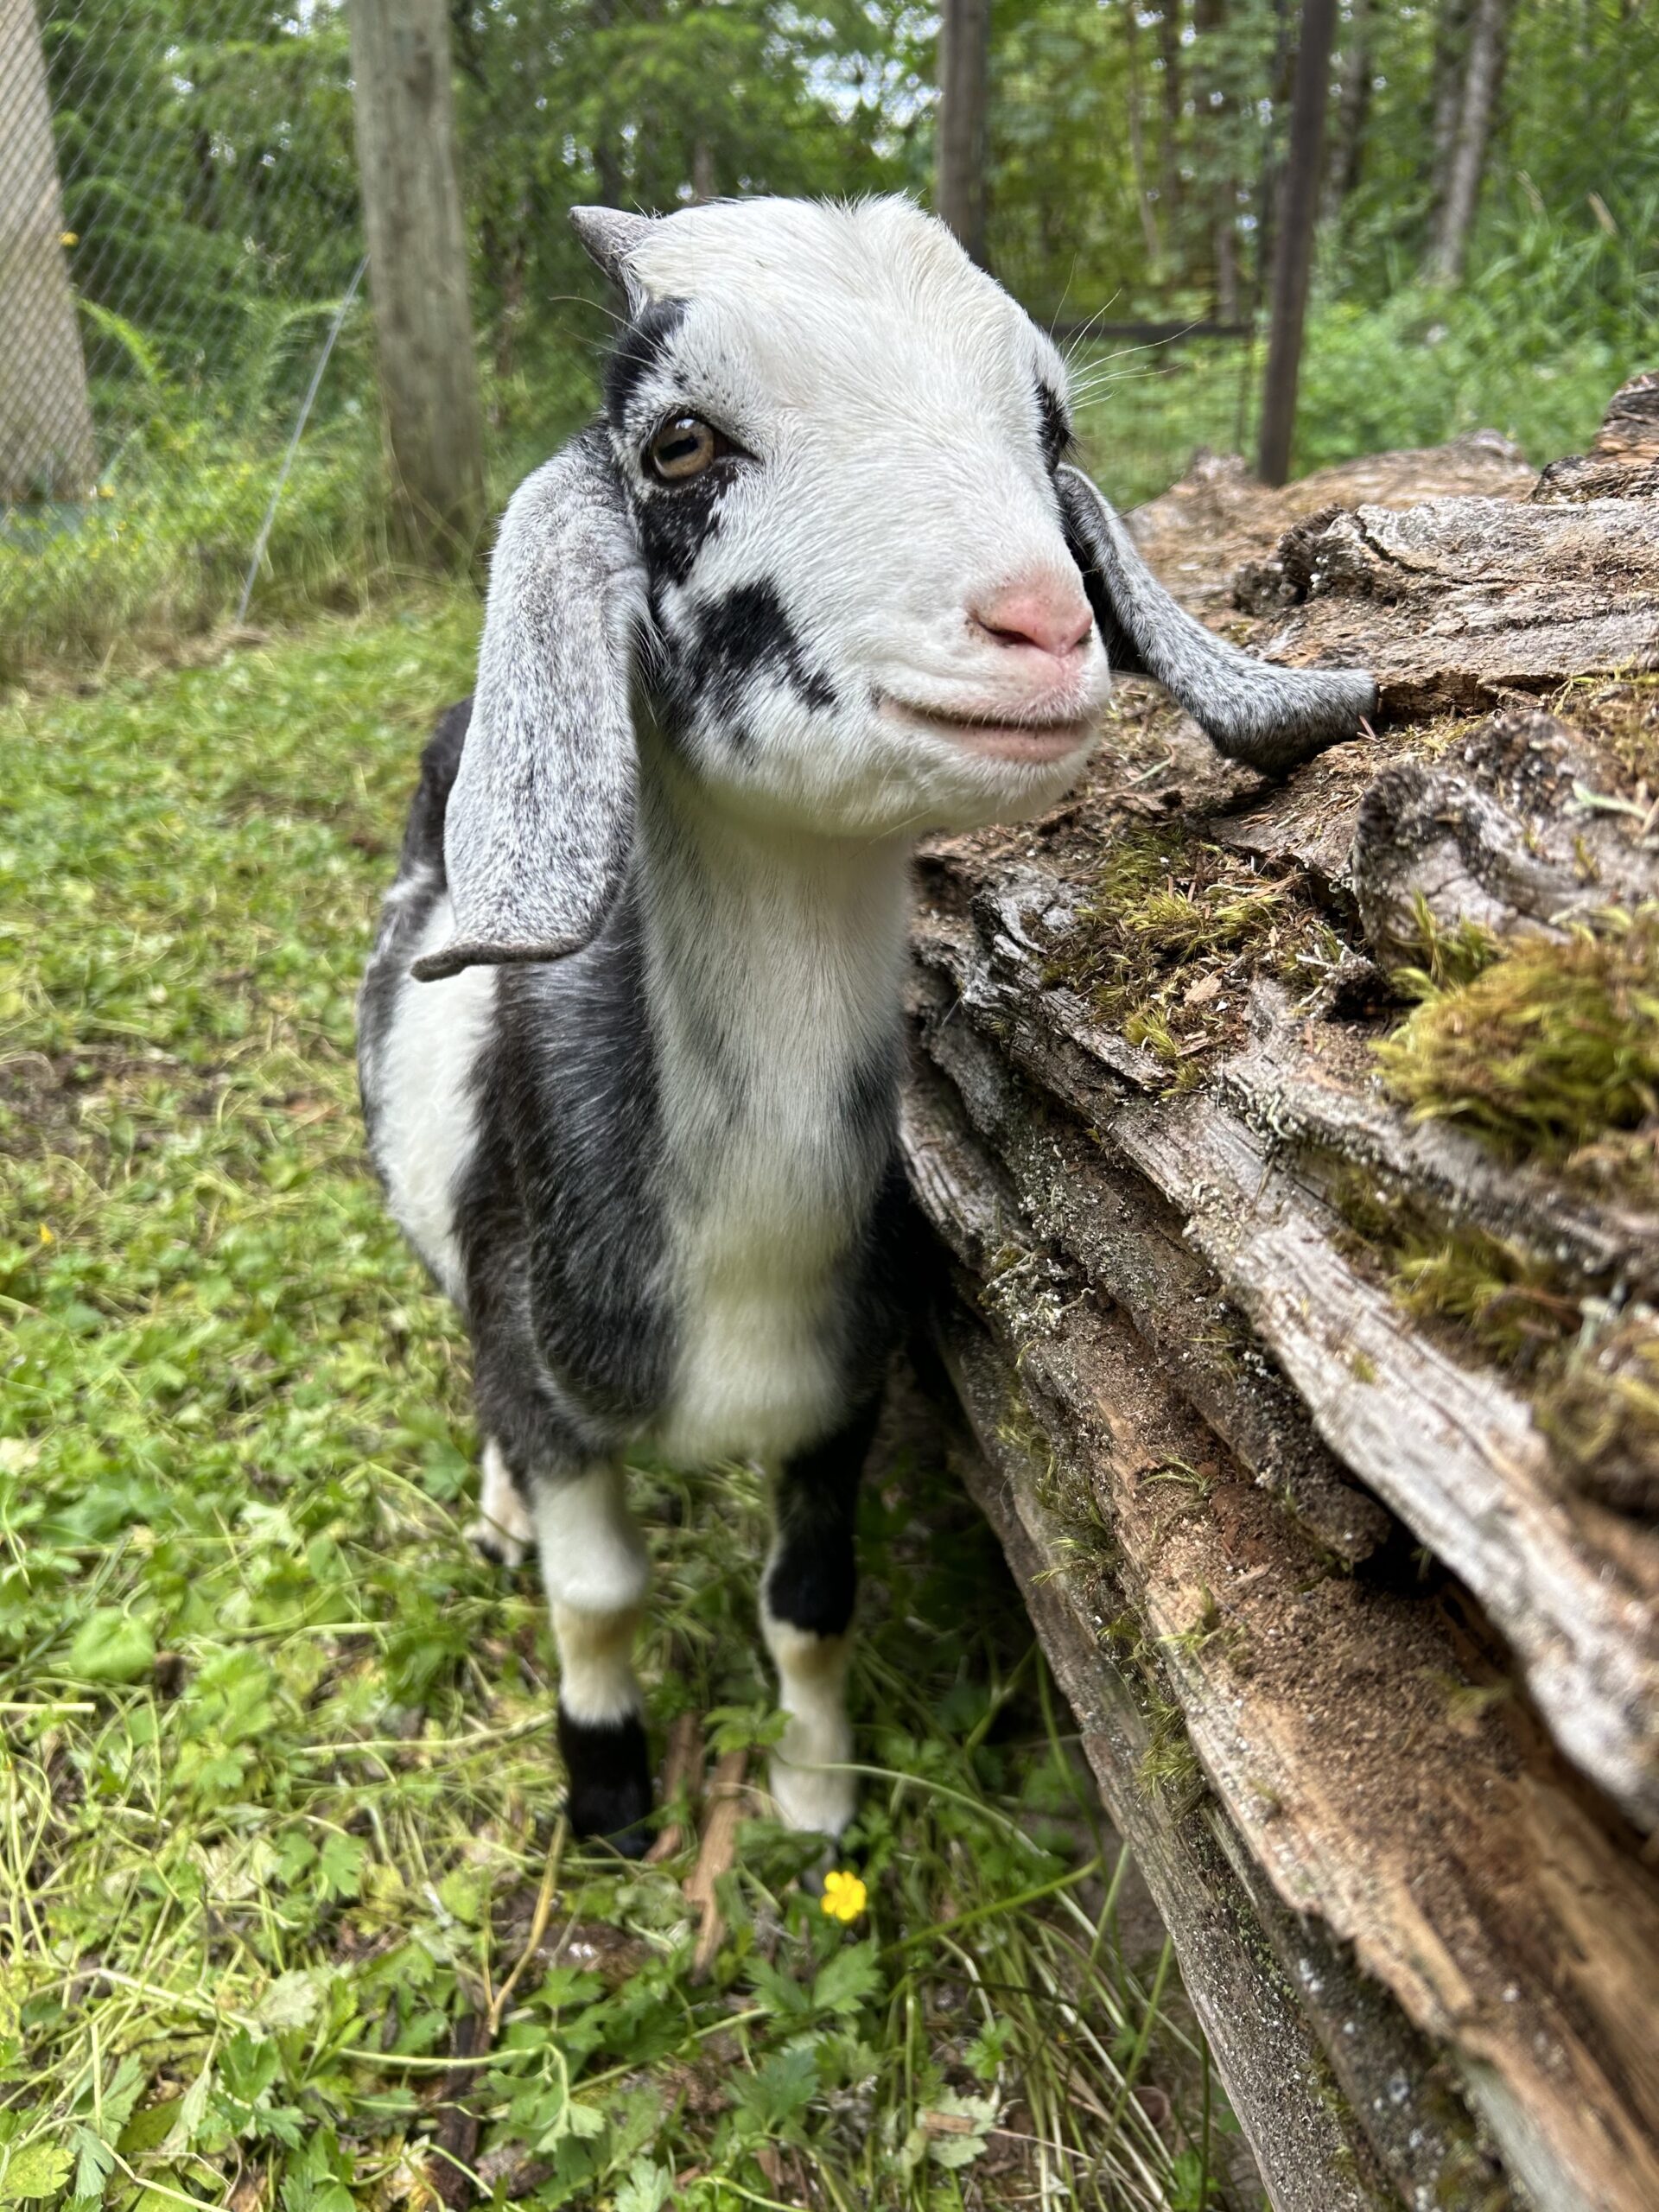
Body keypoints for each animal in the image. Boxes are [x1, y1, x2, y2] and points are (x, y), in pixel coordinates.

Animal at [357, 195, 1373, 1854]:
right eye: (679, 445)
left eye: (1049, 421)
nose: (1042, 626)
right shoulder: (548, 1384)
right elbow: (599, 1595)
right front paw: (612, 1795)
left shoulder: (842, 1401)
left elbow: (810, 1603)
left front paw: (816, 1794)